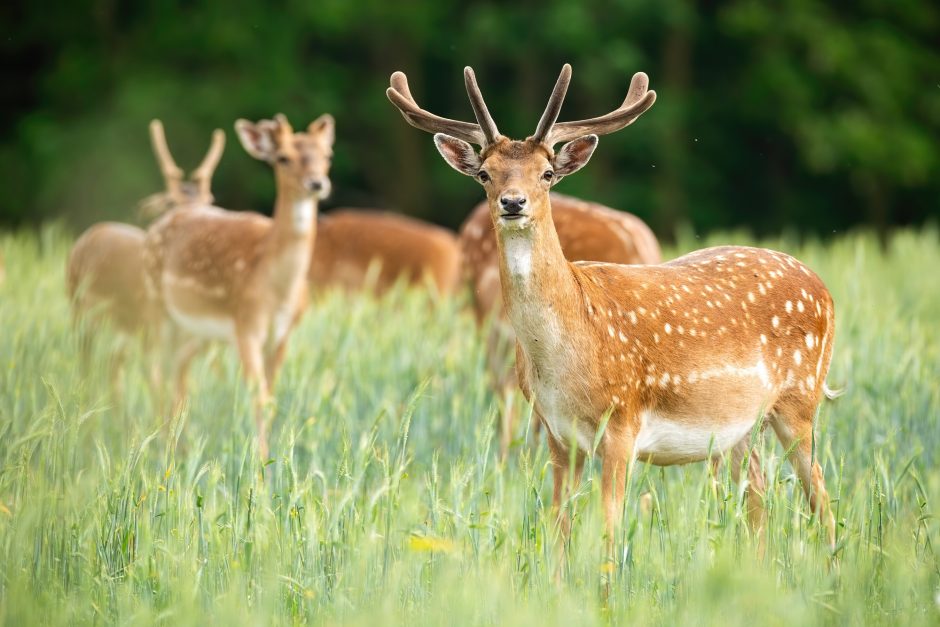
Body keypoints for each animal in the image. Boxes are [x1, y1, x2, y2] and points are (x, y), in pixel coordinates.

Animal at [66, 121, 226, 394]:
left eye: (209, 199)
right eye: (170, 202)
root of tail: (91, 232)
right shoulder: (154, 332)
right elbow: (160, 387)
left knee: (113, 367)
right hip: (79, 308)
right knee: (86, 361)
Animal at [145, 113, 336, 458]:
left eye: (327, 155)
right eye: (283, 157)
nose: (317, 183)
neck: (277, 288)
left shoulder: (283, 333)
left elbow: (271, 398)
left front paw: (273, 459)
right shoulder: (246, 325)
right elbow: (256, 398)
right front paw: (261, 464)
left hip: (196, 332)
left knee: (177, 371)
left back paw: (178, 447)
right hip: (156, 304)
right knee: (154, 370)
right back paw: (161, 447)